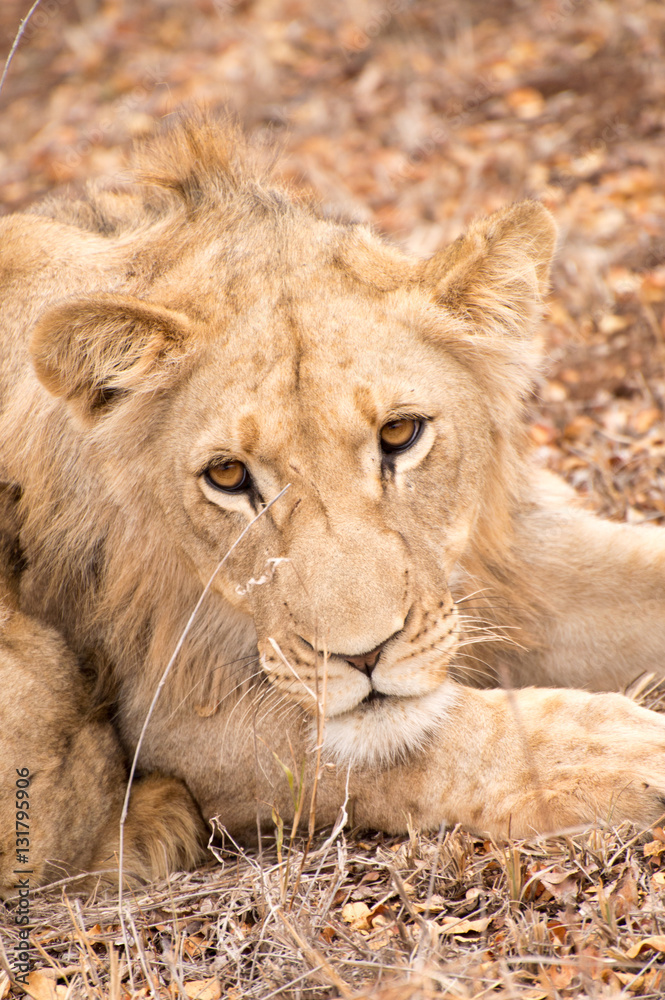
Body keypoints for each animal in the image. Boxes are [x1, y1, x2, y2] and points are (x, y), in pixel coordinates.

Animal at [1, 118, 665, 895]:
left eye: (400, 434)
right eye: (227, 474)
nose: (363, 655)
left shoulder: (509, 562)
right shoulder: (172, 710)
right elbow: (438, 738)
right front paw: (624, 750)